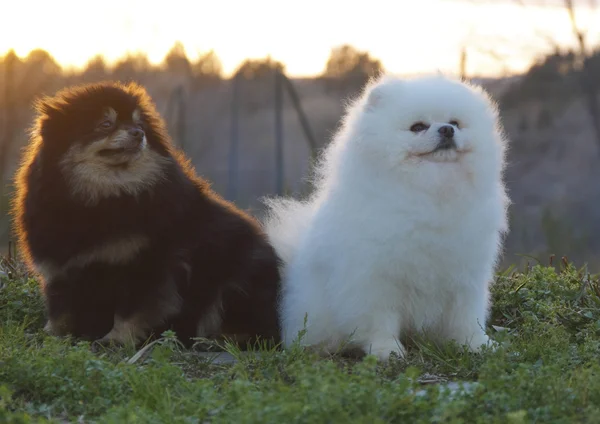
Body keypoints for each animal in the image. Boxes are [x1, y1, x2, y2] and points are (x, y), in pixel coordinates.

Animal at [11, 81, 282, 350]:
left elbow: (131, 311)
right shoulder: (61, 267)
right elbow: (61, 309)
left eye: (139, 125)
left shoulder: (144, 264)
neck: (104, 193)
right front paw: (51, 335)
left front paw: (116, 340)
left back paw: (217, 340)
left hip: (238, 275)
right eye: (105, 124)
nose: (137, 133)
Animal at [264, 73, 510, 362]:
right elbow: (379, 321)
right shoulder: (374, 279)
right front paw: (386, 350)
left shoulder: (466, 277)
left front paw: (476, 344)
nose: (447, 130)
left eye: (456, 123)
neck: (429, 193)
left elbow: (466, 318)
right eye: (418, 127)